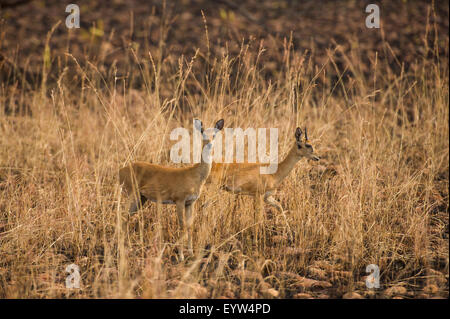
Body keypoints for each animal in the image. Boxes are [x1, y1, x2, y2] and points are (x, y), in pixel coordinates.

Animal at [119, 119, 225, 260]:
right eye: (202, 133)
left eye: (214, 134)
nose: (209, 144)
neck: (195, 175)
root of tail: (120, 171)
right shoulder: (179, 200)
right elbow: (182, 225)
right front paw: (181, 256)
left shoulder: (190, 202)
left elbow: (190, 226)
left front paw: (191, 253)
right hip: (132, 195)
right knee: (123, 215)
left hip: (141, 198)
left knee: (126, 217)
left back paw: (128, 247)